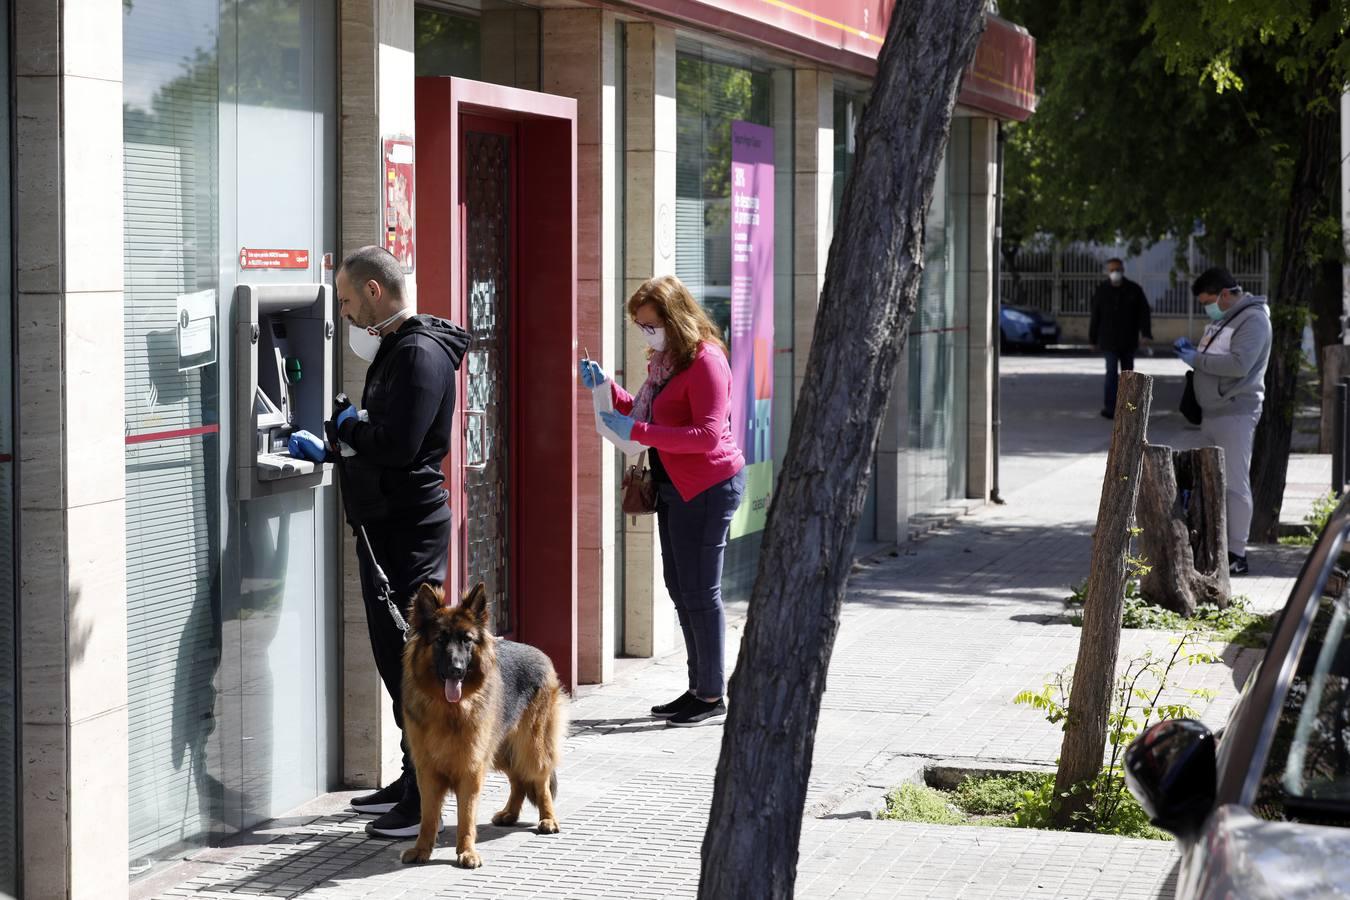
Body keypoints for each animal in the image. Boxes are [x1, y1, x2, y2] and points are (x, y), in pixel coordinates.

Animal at [399, 580, 569, 868]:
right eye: (441, 639)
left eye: (467, 640)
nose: (456, 669)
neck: (449, 709)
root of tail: (539, 653)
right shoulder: (428, 772)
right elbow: (428, 817)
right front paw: (422, 849)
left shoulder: (471, 768)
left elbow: (466, 817)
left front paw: (467, 852)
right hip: (500, 751)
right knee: (518, 780)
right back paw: (510, 813)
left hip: (531, 747)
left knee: (540, 780)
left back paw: (548, 819)